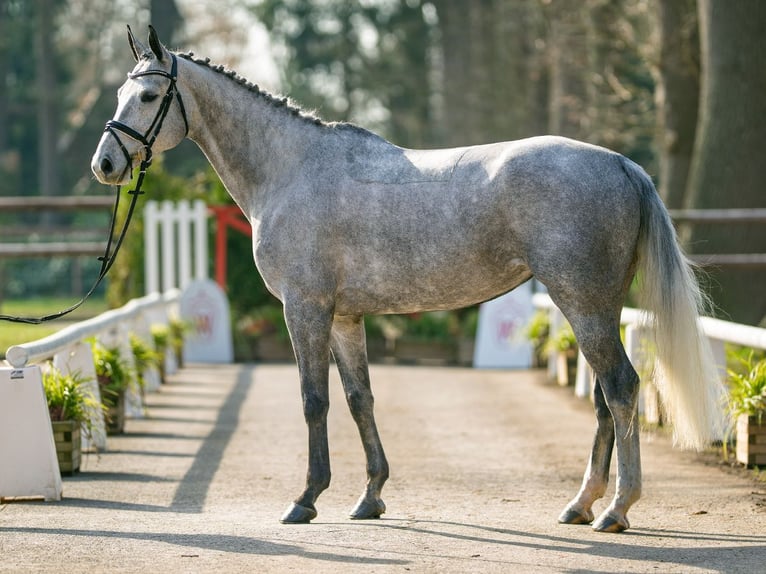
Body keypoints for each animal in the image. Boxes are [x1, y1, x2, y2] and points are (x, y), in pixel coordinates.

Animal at [91, 26, 723, 533]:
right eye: (121, 93)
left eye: (148, 95)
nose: (105, 164)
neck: (291, 169)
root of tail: (621, 163)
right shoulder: (345, 317)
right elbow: (359, 399)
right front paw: (370, 497)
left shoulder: (305, 308)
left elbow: (314, 400)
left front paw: (306, 499)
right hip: (597, 305)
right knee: (602, 398)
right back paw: (581, 504)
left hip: (583, 303)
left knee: (621, 388)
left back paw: (616, 509)